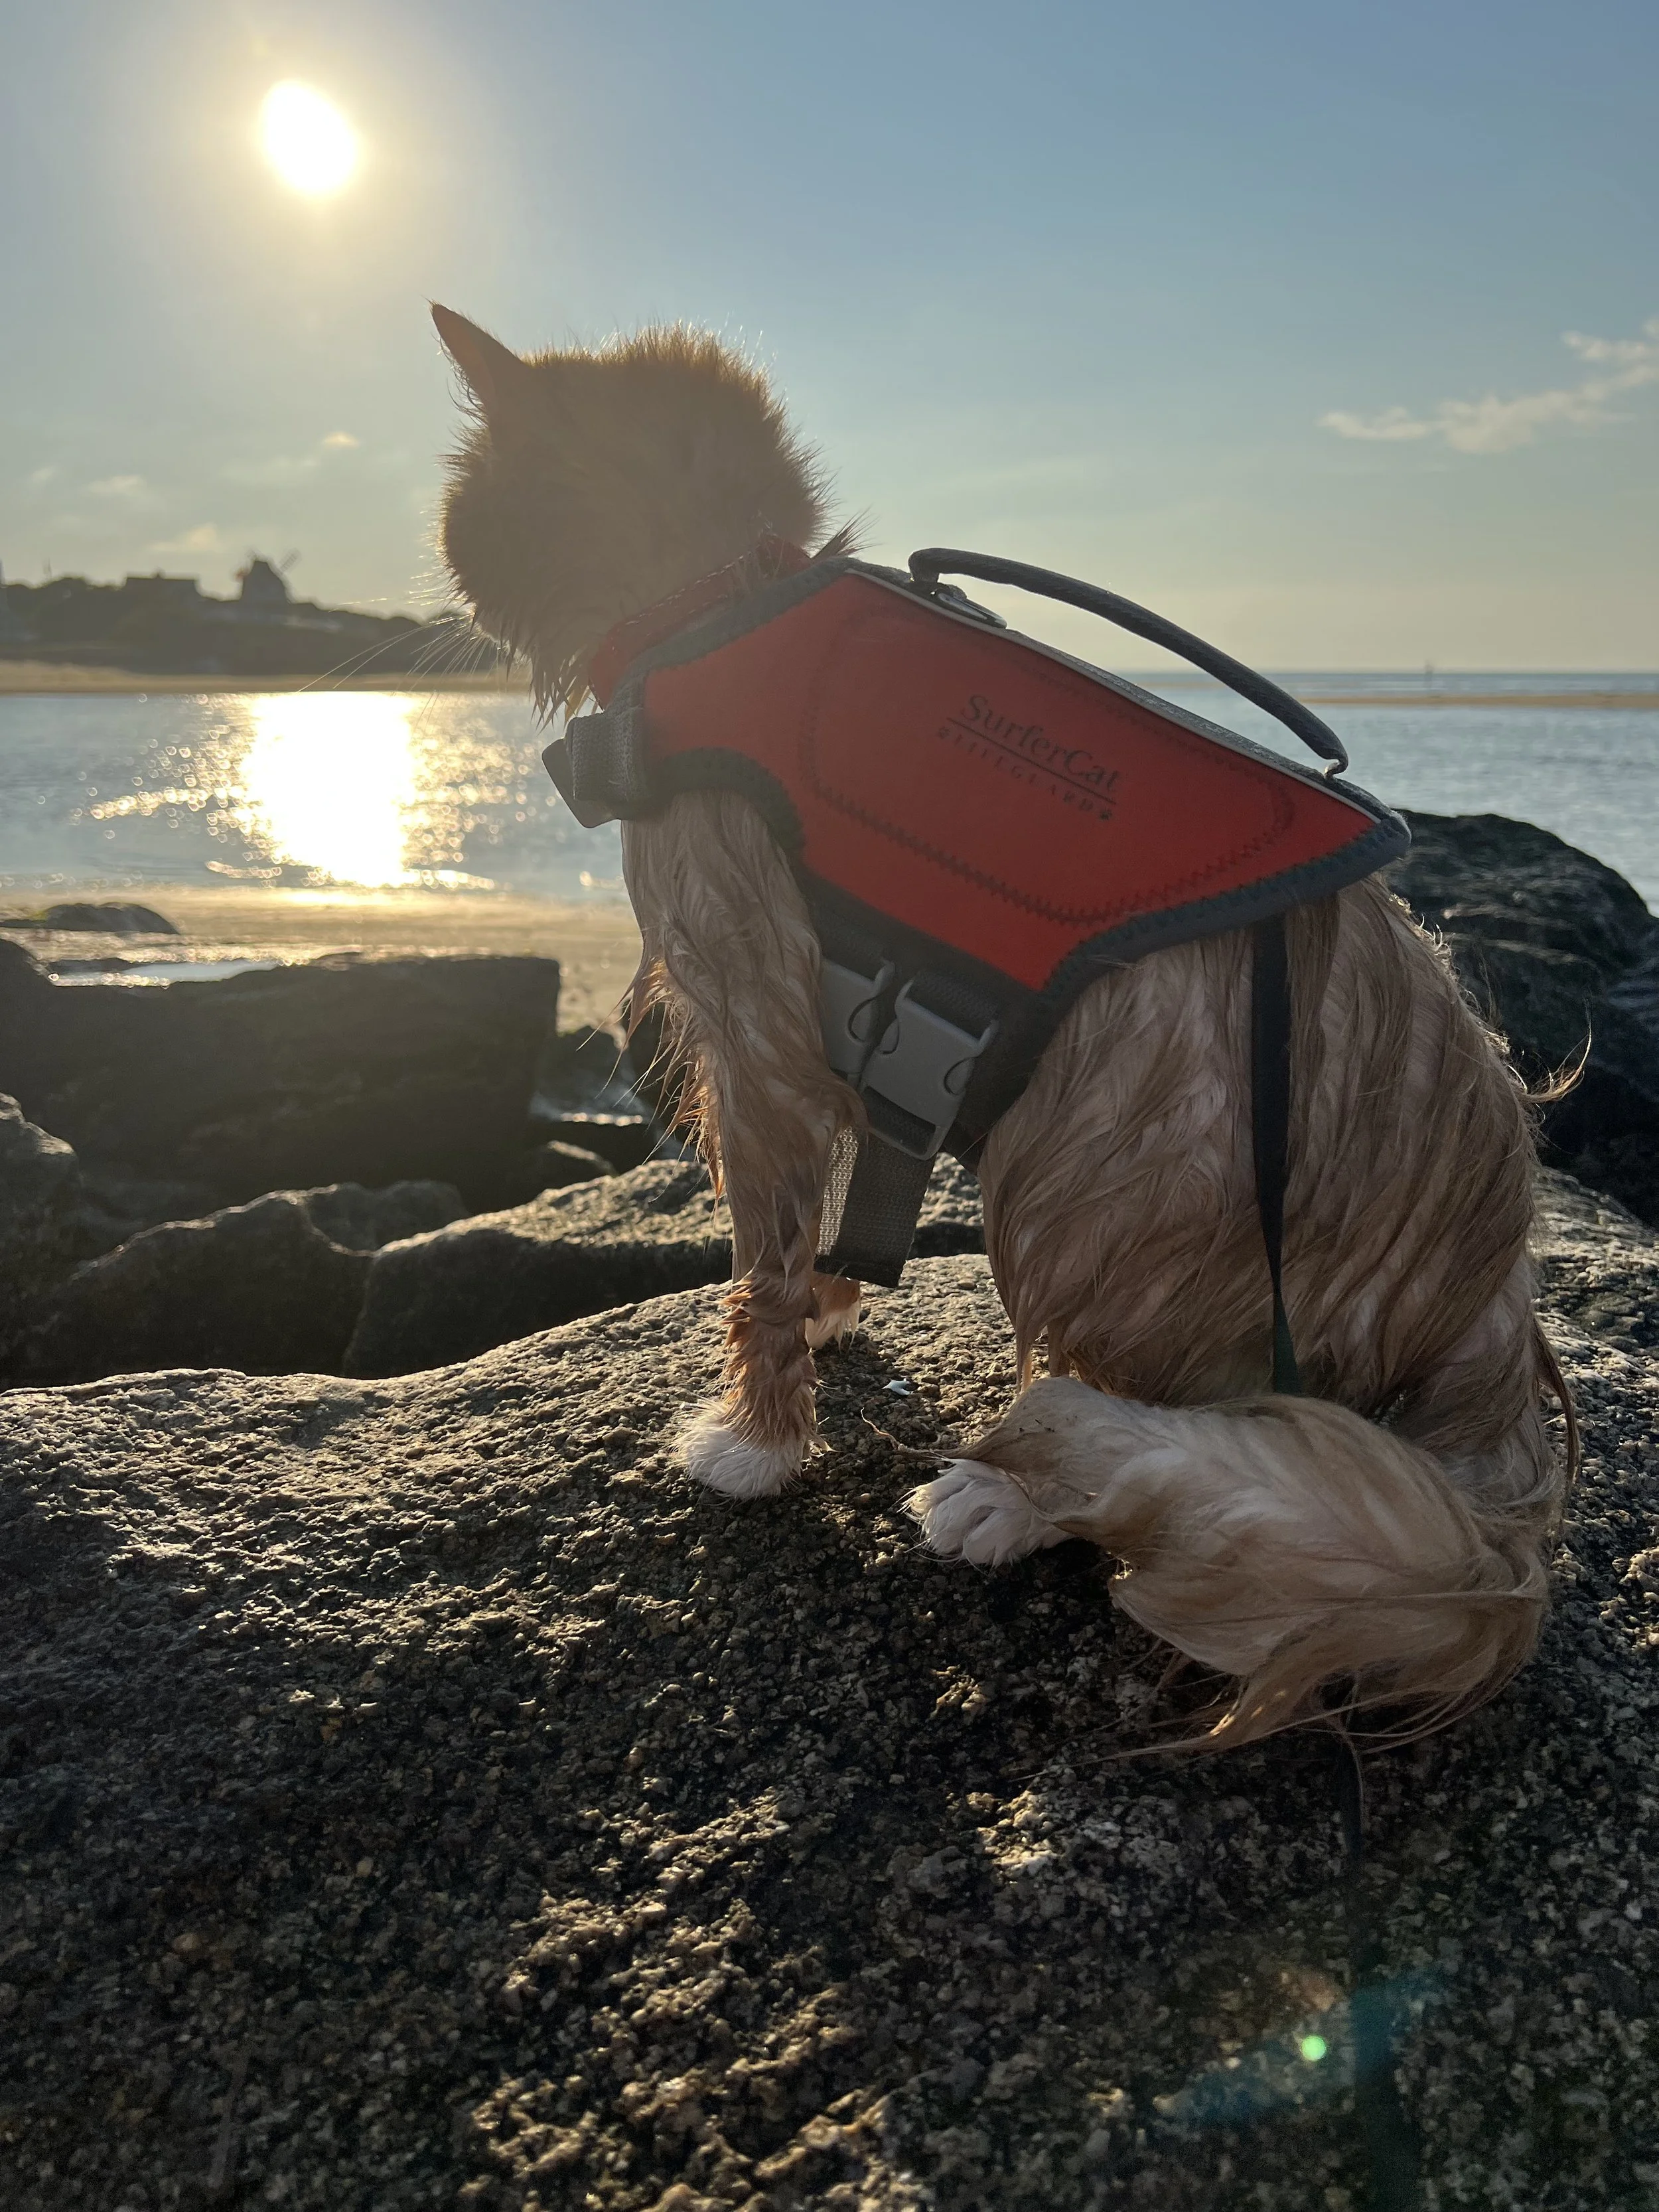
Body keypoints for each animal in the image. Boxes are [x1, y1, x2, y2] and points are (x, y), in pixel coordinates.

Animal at [429, 307, 1575, 1743]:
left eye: (470, 512)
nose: (450, 585)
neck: (723, 602)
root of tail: (1487, 1317)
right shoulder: (859, 1033)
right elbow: (836, 1211)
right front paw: (829, 1310)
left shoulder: (757, 1032)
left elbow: (760, 1256)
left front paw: (757, 1437)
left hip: (1098, 1189)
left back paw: (1015, 1494)